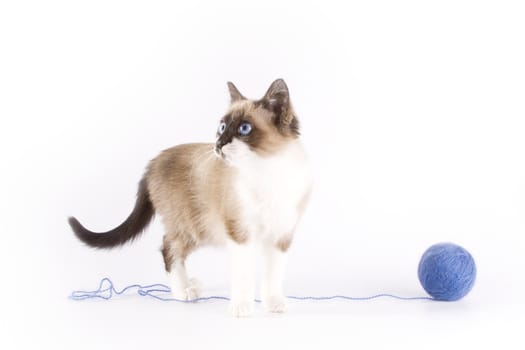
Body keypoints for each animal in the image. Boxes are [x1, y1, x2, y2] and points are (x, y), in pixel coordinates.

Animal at [68, 79, 312, 318]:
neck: (267, 172)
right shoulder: (239, 234)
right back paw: (183, 291)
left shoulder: (281, 236)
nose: (219, 144)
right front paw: (241, 307)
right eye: (222, 127)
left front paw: (274, 304)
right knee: (168, 248)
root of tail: (154, 161)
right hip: (192, 227)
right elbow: (243, 276)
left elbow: (273, 276)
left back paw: (191, 285)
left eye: (244, 128)